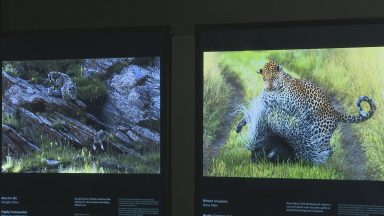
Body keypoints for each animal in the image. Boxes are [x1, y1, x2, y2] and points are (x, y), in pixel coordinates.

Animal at [236, 60, 376, 165]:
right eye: (264, 78)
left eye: (273, 77)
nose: (268, 88)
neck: (277, 89)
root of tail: (336, 113)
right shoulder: (265, 104)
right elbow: (249, 116)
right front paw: (239, 126)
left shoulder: (300, 109)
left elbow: (299, 120)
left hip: (319, 132)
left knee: (326, 149)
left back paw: (315, 162)